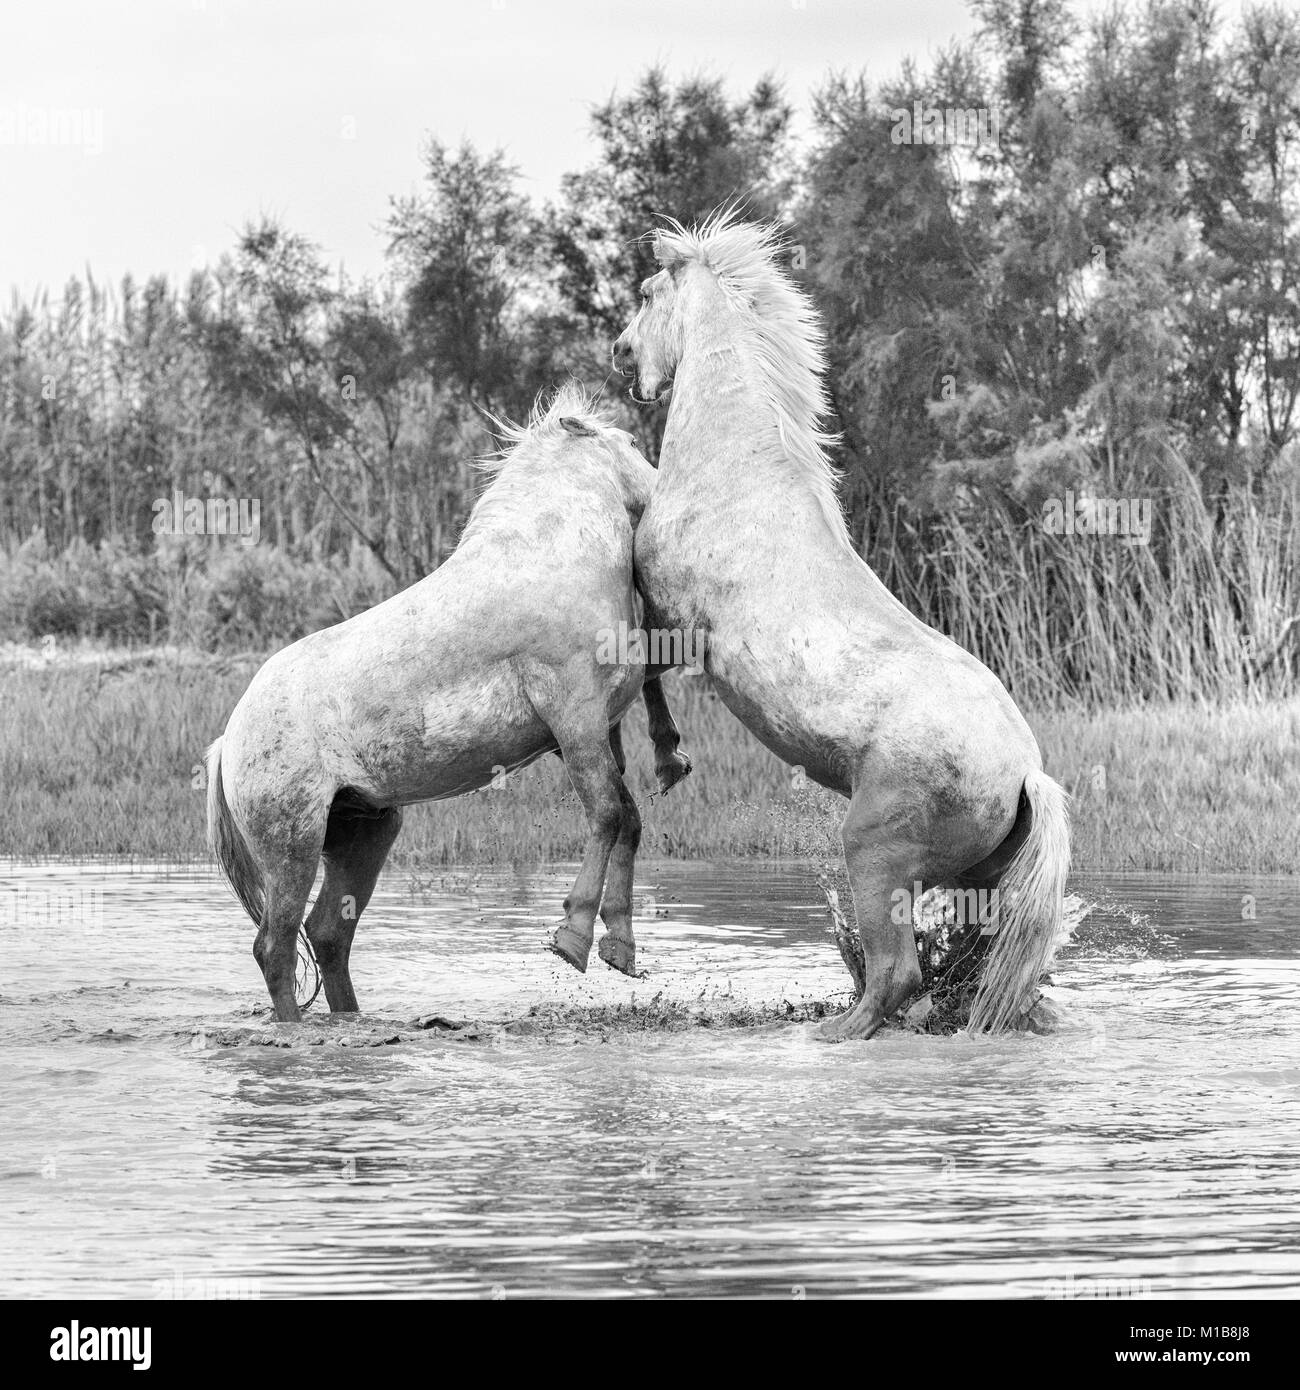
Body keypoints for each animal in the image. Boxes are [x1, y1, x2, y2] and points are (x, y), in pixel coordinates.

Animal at [206, 386, 691, 1023]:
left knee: (329, 934)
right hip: (293, 846)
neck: (553, 558)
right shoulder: (575, 718)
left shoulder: (590, 727)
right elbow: (610, 814)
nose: (668, 493)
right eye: (633, 442)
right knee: (276, 945)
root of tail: (227, 740)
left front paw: (621, 946)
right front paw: (574, 936)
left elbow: (629, 819)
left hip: (366, 833)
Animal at [612, 211, 1070, 1040]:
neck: (736, 468)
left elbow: (646, 675)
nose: (620, 353)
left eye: (647, 292)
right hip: (975, 882)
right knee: (972, 968)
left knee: (896, 972)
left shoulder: (675, 619)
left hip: (874, 851)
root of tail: (1025, 771)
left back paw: (834, 1031)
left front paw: (668, 759)